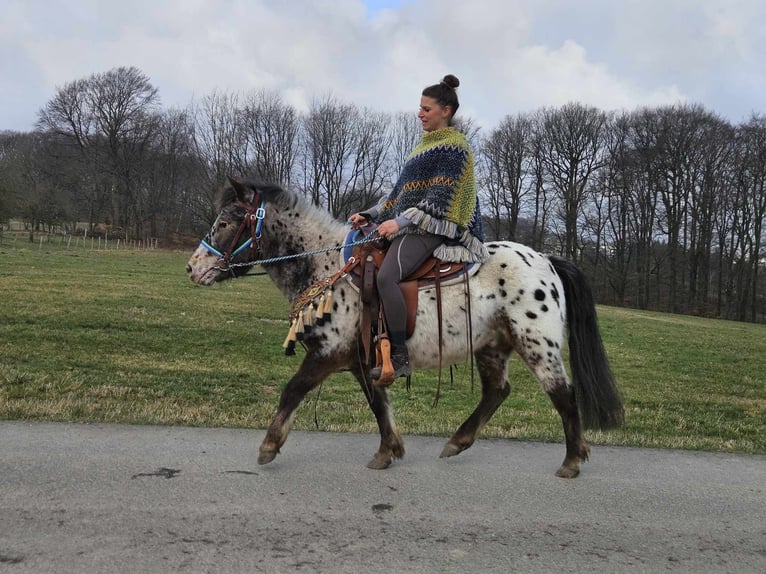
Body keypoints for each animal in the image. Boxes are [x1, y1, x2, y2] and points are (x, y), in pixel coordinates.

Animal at [186, 178, 624, 480]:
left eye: (225, 221)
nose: (192, 268)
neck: (326, 267)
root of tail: (546, 259)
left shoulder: (328, 354)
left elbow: (293, 390)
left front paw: (268, 446)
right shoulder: (362, 360)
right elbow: (379, 404)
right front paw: (388, 451)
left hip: (538, 345)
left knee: (563, 394)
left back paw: (572, 460)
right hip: (491, 345)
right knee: (496, 392)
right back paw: (457, 442)